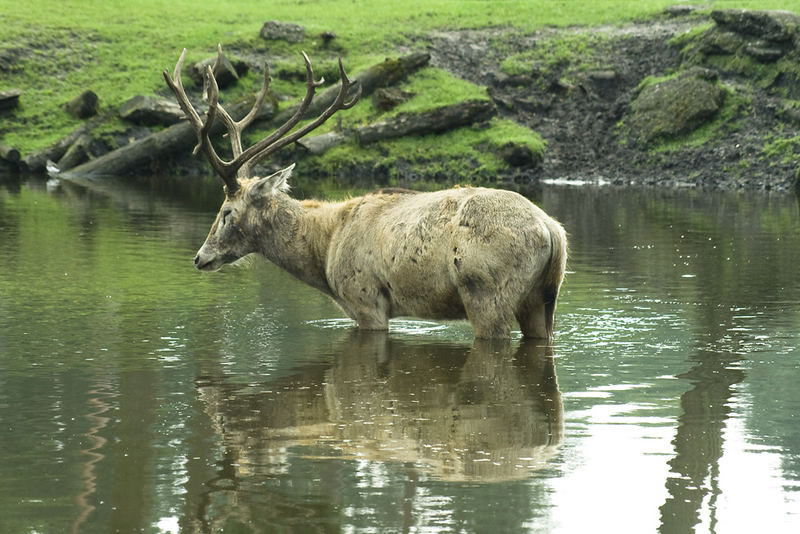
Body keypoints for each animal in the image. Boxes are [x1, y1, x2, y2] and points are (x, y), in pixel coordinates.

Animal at [162, 45, 564, 340]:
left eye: (226, 211)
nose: (200, 257)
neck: (324, 252)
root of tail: (552, 231)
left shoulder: (365, 298)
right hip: (543, 298)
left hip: (485, 291)